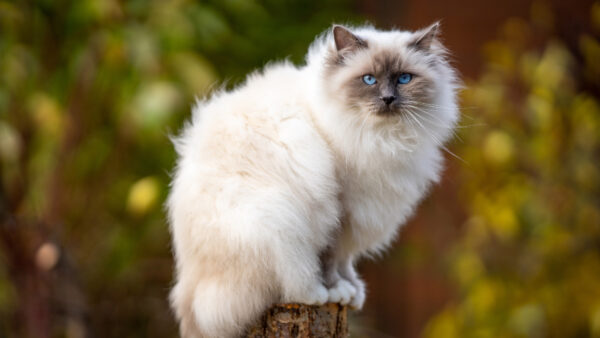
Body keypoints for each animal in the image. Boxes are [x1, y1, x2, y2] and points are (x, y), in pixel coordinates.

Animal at [168, 22, 460, 336]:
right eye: (369, 80)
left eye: (404, 79)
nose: (388, 99)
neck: (383, 139)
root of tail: (190, 299)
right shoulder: (339, 211)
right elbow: (330, 260)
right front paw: (338, 291)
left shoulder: (355, 217)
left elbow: (345, 261)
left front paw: (354, 292)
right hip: (277, 222)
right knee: (290, 285)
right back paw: (316, 293)